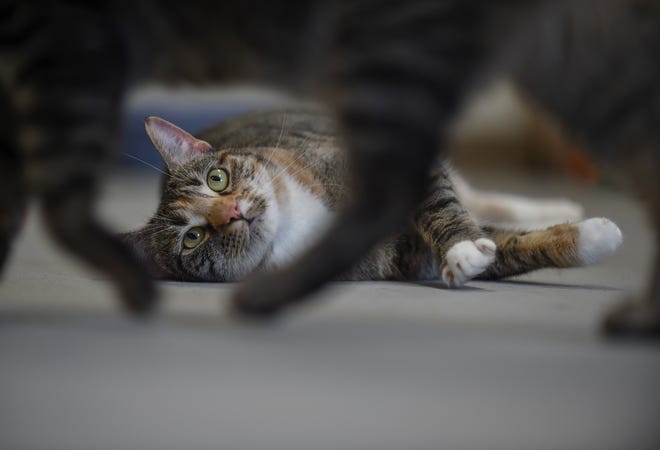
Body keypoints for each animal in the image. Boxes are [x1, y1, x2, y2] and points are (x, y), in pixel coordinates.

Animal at [121, 110, 620, 284]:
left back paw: (558, 204)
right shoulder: (403, 256)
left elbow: (445, 207)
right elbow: (512, 246)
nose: (233, 212)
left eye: (217, 180)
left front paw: (462, 245)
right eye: (192, 239)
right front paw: (592, 240)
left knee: (476, 195)